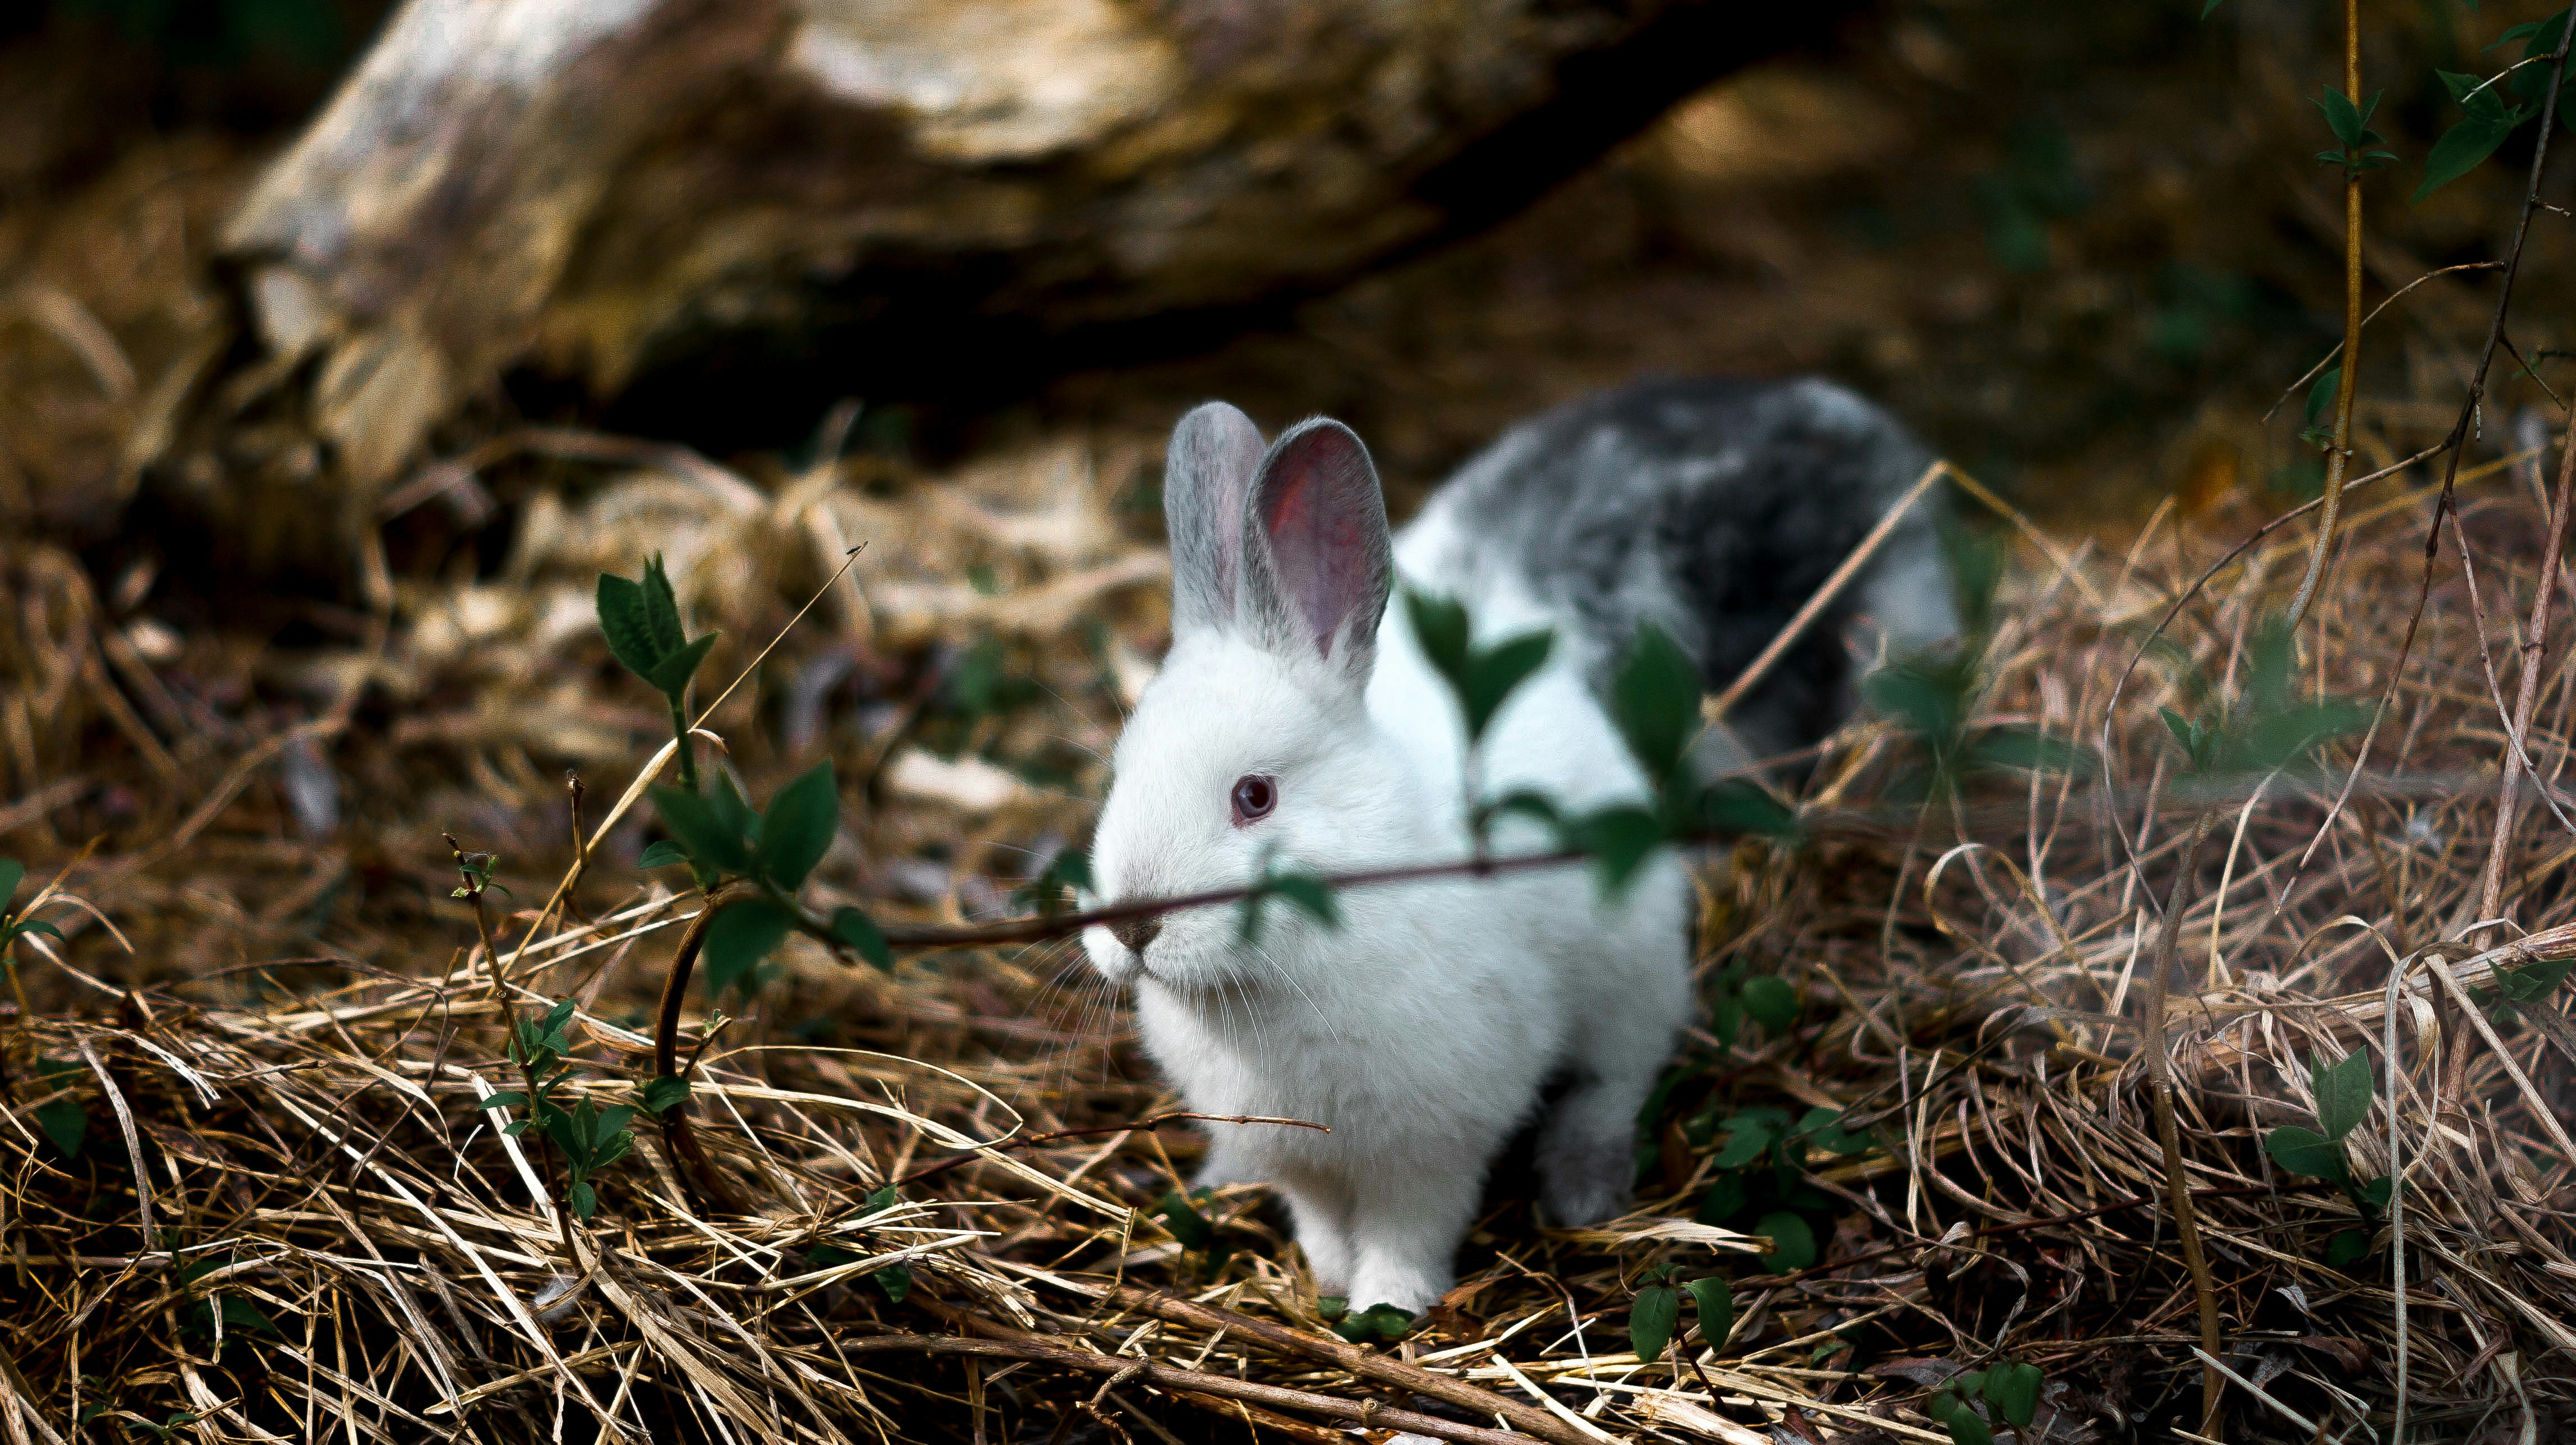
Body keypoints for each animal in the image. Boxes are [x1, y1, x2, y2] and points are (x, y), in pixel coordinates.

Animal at [1080, 375, 1956, 1313]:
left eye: (1255, 796)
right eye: (1119, 776)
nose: (1134, 928)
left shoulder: (1433, 1148)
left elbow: (1410, 1231)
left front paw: (1388, 1306)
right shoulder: (1300, 1161)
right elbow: (1319, 1228)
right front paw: (1330, 1290)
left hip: (1633, 973)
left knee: (1619, 1077)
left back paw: (1582, 1188)